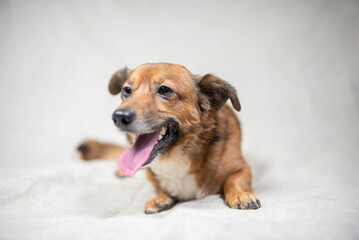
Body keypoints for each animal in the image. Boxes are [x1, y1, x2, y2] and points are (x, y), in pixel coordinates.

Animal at [78, 62, 262, 213]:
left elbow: (233, 180)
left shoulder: (242, 167)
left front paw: (240, 194)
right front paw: (161, 197)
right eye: (127, 90)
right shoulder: (151, 175)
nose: (119, 116)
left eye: (165, 90)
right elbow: (159, 186)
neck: (175, 156)